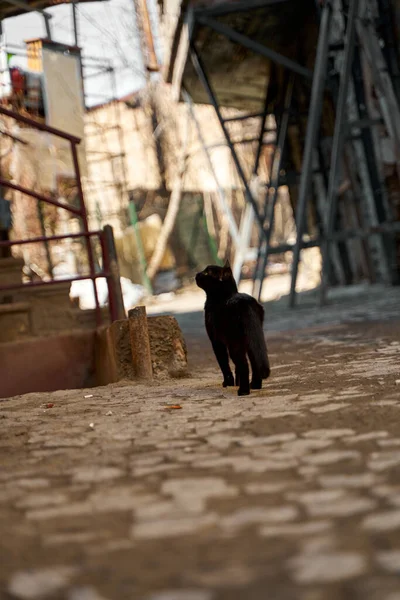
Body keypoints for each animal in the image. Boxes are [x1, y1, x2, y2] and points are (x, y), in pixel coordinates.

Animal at [195, 262, 270, 394]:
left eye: (207, 272)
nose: (197, 274)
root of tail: (246, 303)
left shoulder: (216, 341)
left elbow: (224, 363)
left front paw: (228, 383)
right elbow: (236, 368)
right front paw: (236, 382)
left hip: (234, 343)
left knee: (244, 364)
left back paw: (243, 391)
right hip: (251, 341)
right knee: (254, 361)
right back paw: (254, 385)